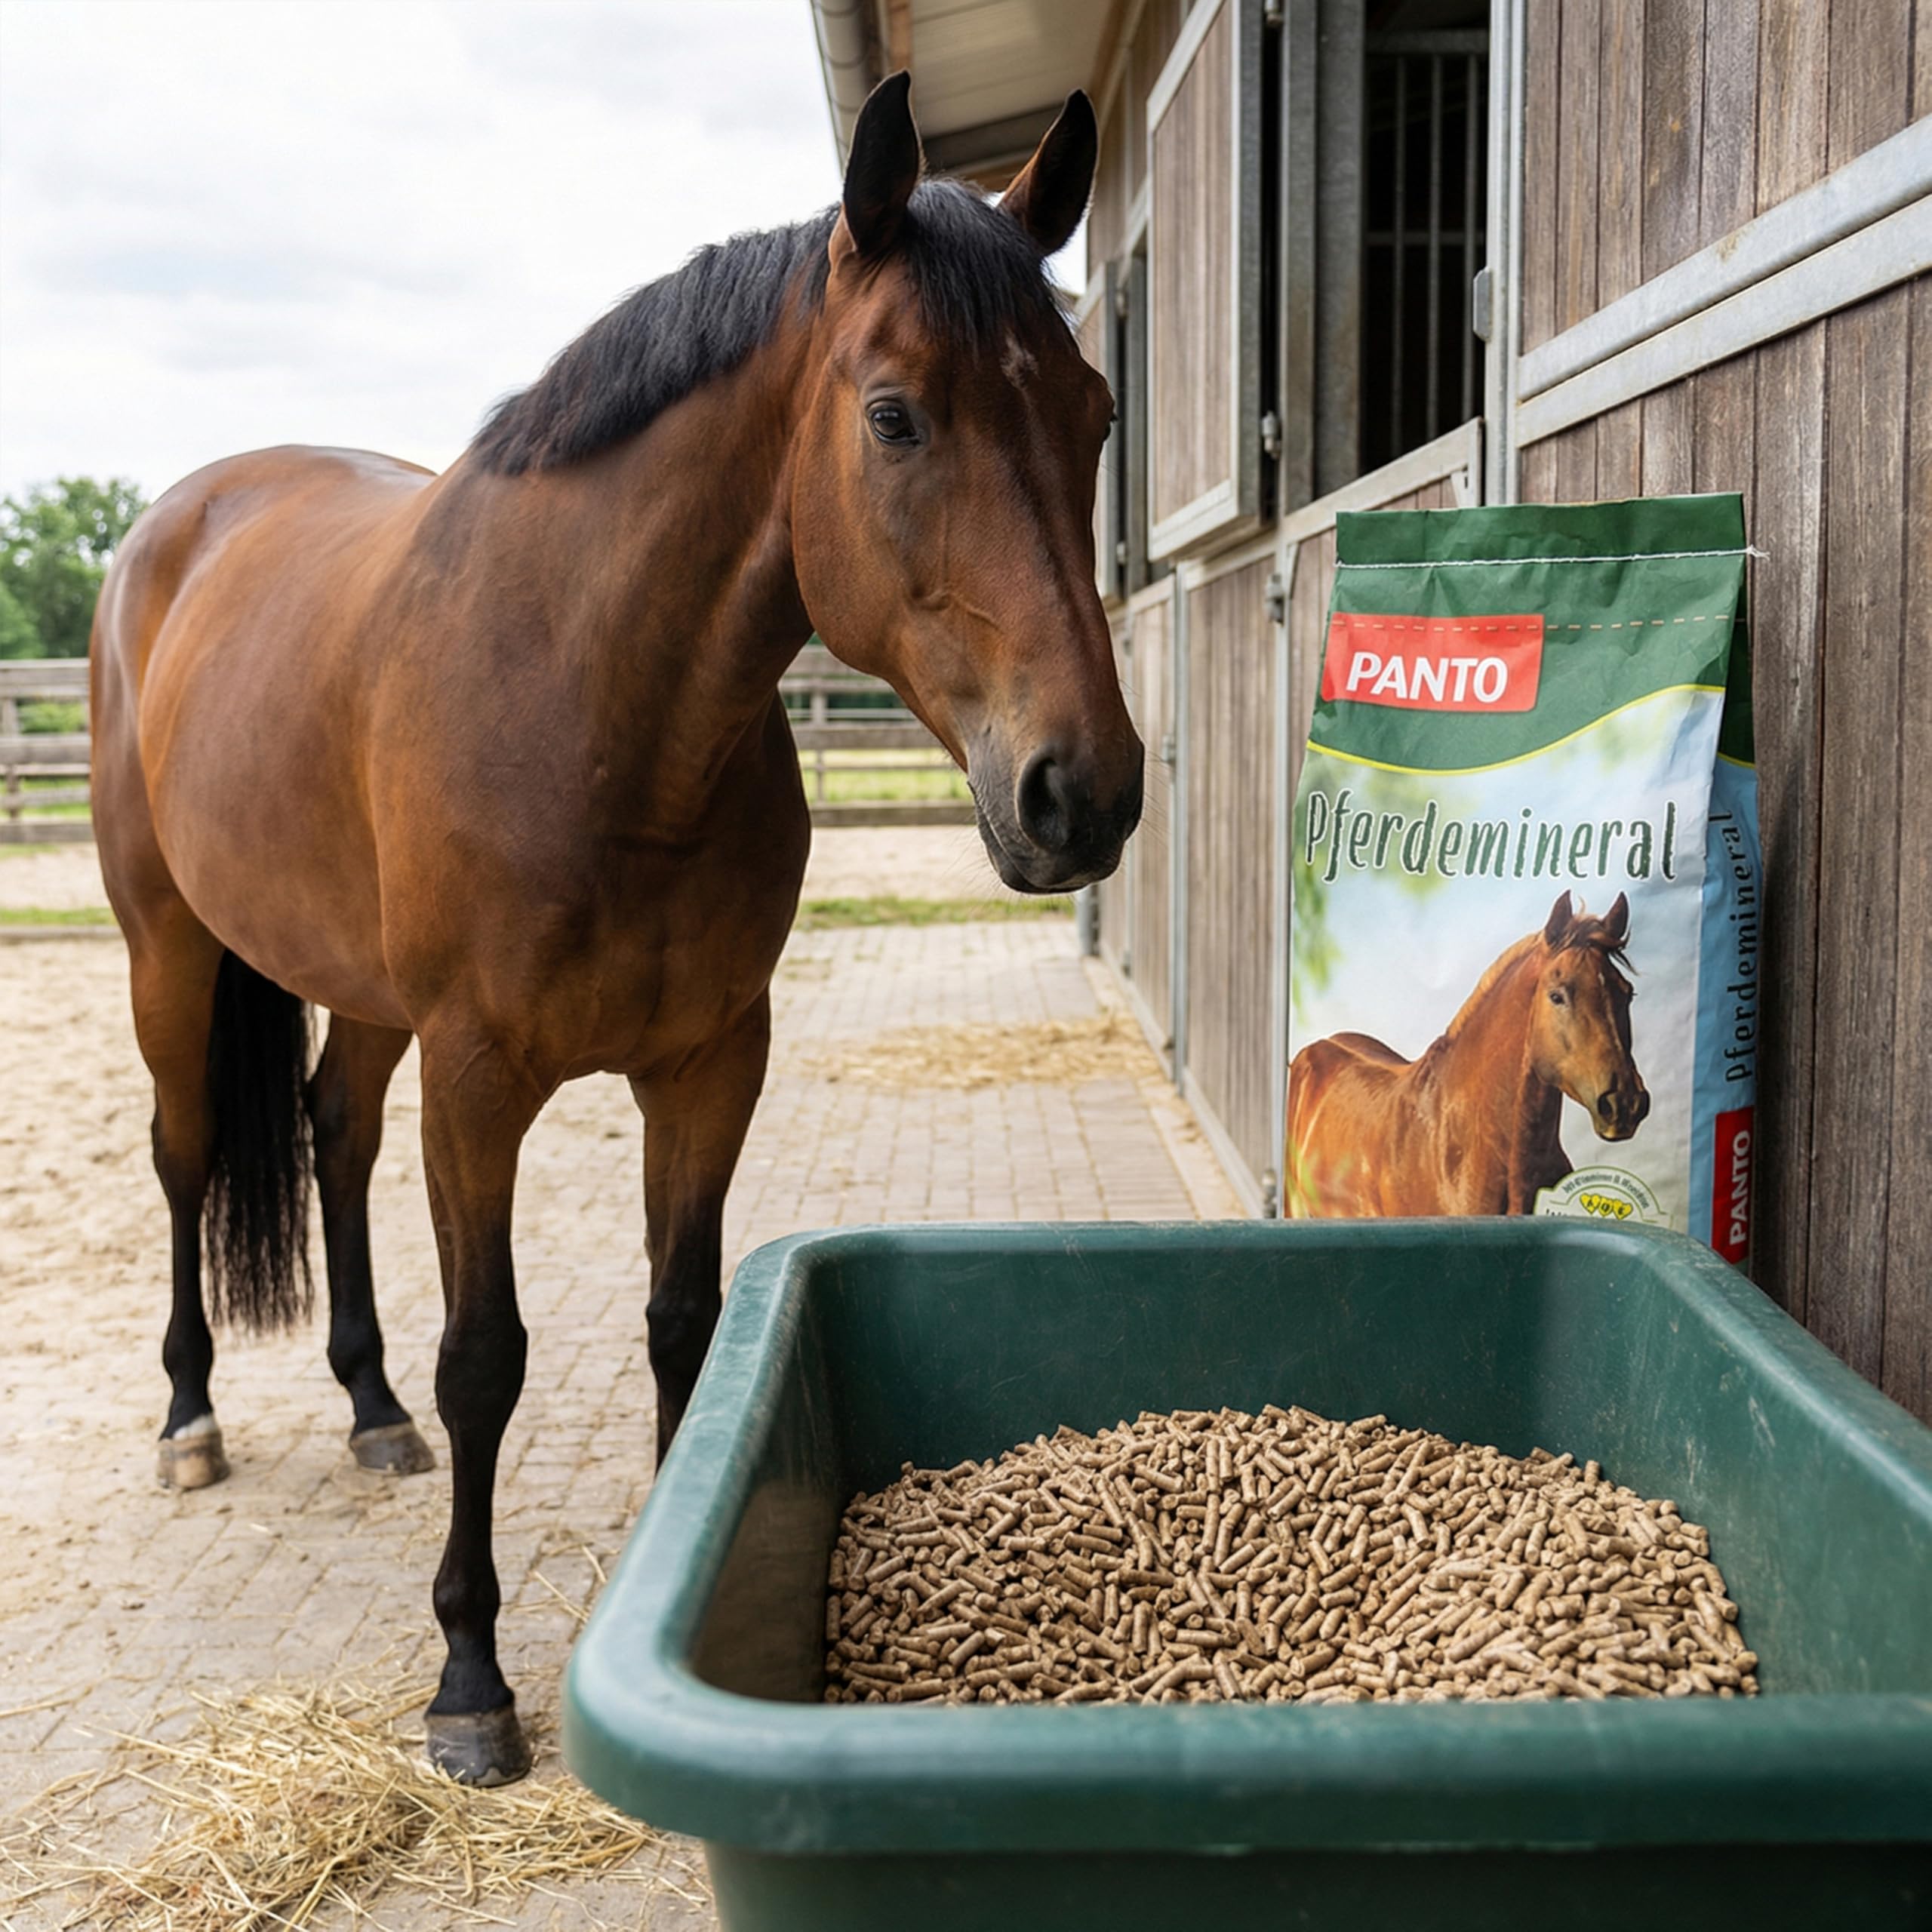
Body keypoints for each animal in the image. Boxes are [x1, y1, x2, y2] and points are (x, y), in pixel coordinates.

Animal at [89, 74, 1140, 1785]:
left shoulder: (709, 1062)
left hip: (359, 991)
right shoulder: (478, 1081)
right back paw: (190, 1420)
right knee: (186, 1157)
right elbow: (488, 1357)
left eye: (1095, 412)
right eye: (894, 414)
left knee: (330, 1132)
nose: (1083, 792)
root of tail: (171, 528)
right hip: (168, 949)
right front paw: (467, 1678)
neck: (593, 709)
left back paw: (366, 1404)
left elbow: (682, 1321)